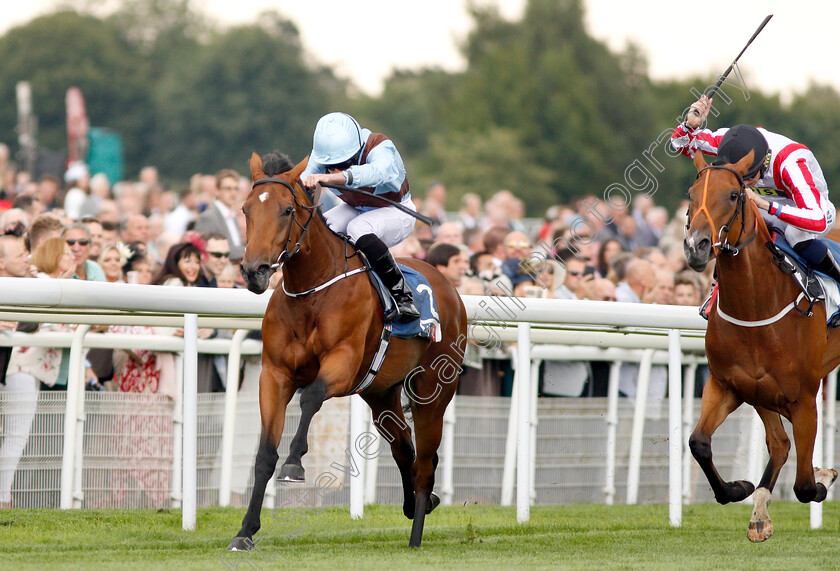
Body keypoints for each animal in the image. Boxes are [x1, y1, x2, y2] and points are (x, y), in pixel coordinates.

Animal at [226, 152, 470, 548]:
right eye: (246, 209)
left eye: (286, 210)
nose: (253, 270)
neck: (311, 291)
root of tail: (450, 288)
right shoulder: (274, 375)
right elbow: (264, 454)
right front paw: (245, 532)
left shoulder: (342, 362)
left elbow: (311, 397)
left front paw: (294, 464)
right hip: (380, 391)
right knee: (404, 447)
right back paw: (416, 504)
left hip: (433, 392)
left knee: (426, 461)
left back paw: (417, 532)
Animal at [684, 147, 840, 540]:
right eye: (690, 195)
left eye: (733, 195)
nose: (696, 246)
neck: (757, 306)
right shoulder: (728, 384)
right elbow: (699, 443)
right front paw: (739, 488)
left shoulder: (804, 399)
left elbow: (804, 486)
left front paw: (823, 479)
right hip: (761, 393)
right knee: (780, 444)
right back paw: (759, 512)